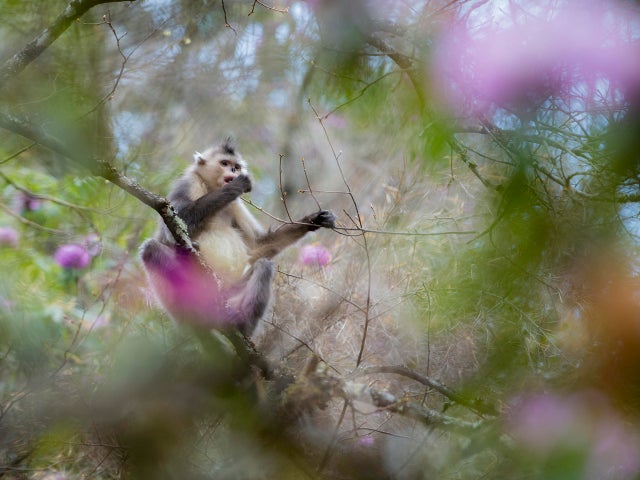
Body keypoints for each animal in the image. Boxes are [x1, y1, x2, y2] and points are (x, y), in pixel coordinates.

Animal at [140, 139, 336, 335]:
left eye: (236, 166)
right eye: (224, 163)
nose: (234, 171)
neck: (210, 188)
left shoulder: (235, 204)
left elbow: (259, 244)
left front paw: (314, 220)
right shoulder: (189, 183)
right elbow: (174, 226)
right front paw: (238, 184)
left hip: (231, 296)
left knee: (264, 266)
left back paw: (242, 324)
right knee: (151, 248)